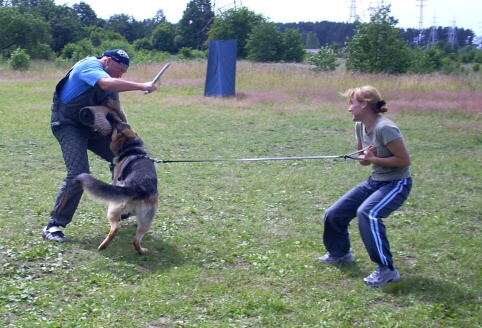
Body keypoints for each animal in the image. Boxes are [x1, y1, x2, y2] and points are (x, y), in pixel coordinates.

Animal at [75, 114, 158, 255]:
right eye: (120, 122)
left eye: (117, 124)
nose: (110, 115)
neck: (132, 149)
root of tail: (138, 188)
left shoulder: (115, 179)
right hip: (146, 222)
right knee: (135, 240)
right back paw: (141, 251)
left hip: (113, 208)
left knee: (115, 228)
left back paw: (102, 246)